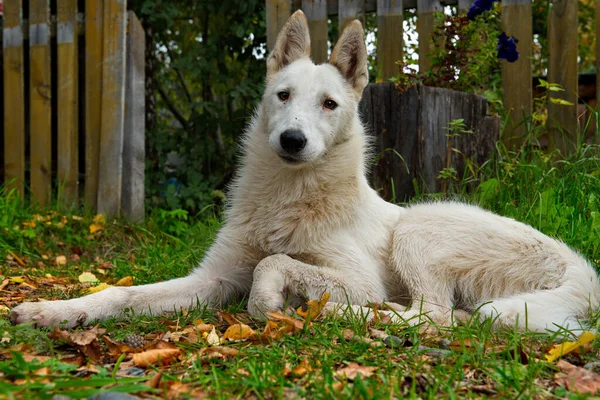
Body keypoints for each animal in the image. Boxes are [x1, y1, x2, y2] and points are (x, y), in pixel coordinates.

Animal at [10, 10, 600, 332]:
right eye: (283, 95)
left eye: (330, 104)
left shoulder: (357, 276)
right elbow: (123, 295)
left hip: (418, 226)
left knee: (429, 313)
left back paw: (343, 314)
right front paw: (53, 311)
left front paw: (272, 302)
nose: (292, 141)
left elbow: (274, 263)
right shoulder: (210, 279)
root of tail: (580, 268)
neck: (288, 200)